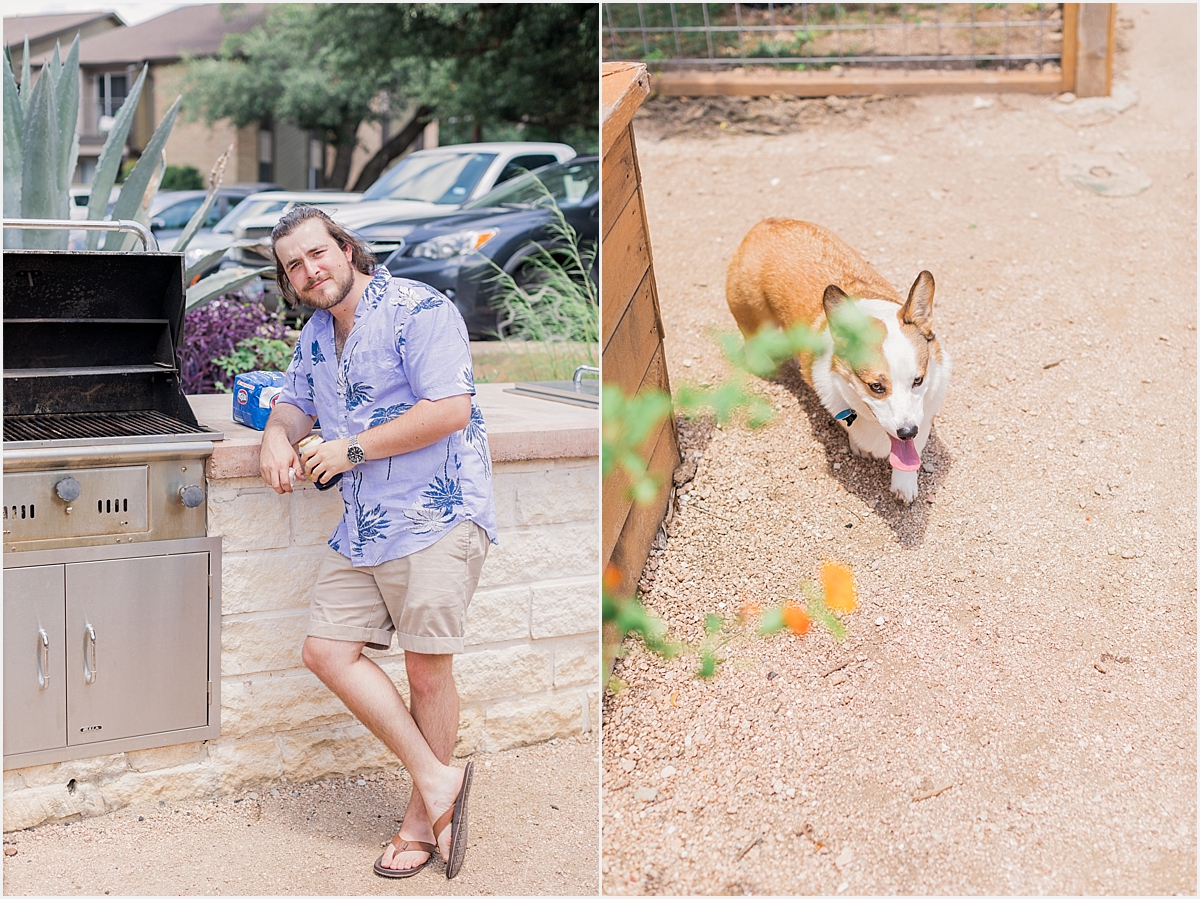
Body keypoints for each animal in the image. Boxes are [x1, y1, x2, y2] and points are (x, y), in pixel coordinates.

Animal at [724, 214, 950, 501]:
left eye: (918, 381)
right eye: (876, 386)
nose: (907, 432)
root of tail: (766, 223)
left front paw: (905, 483)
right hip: (755, 321)